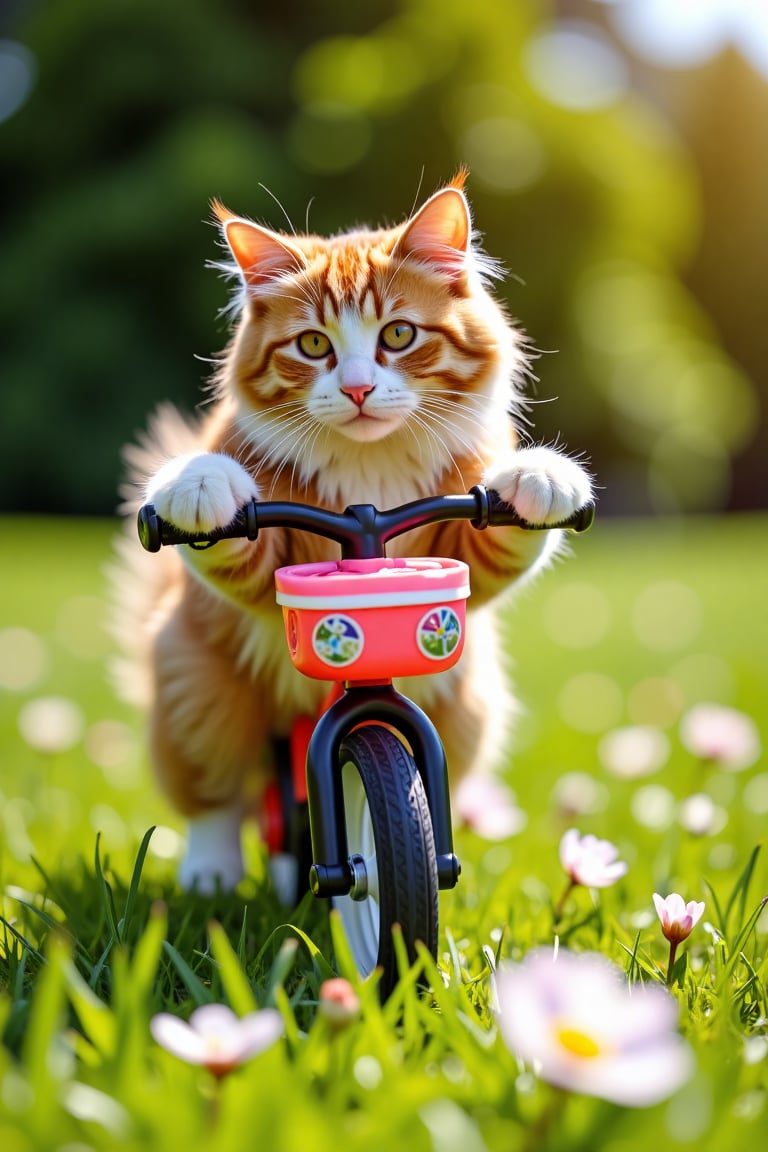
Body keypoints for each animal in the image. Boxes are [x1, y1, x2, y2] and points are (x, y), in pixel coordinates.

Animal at [112, 170, 594, 893]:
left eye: (398, 334)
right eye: (314, 345)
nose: (361, 389)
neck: (369, 480)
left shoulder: (464, 542)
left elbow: (502, 534)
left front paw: (541, 477)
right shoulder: (263, 564)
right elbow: (231, 539)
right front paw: (198, 488)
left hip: (469, 702)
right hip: (192, 683)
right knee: (215, 801)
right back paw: (212, 876)